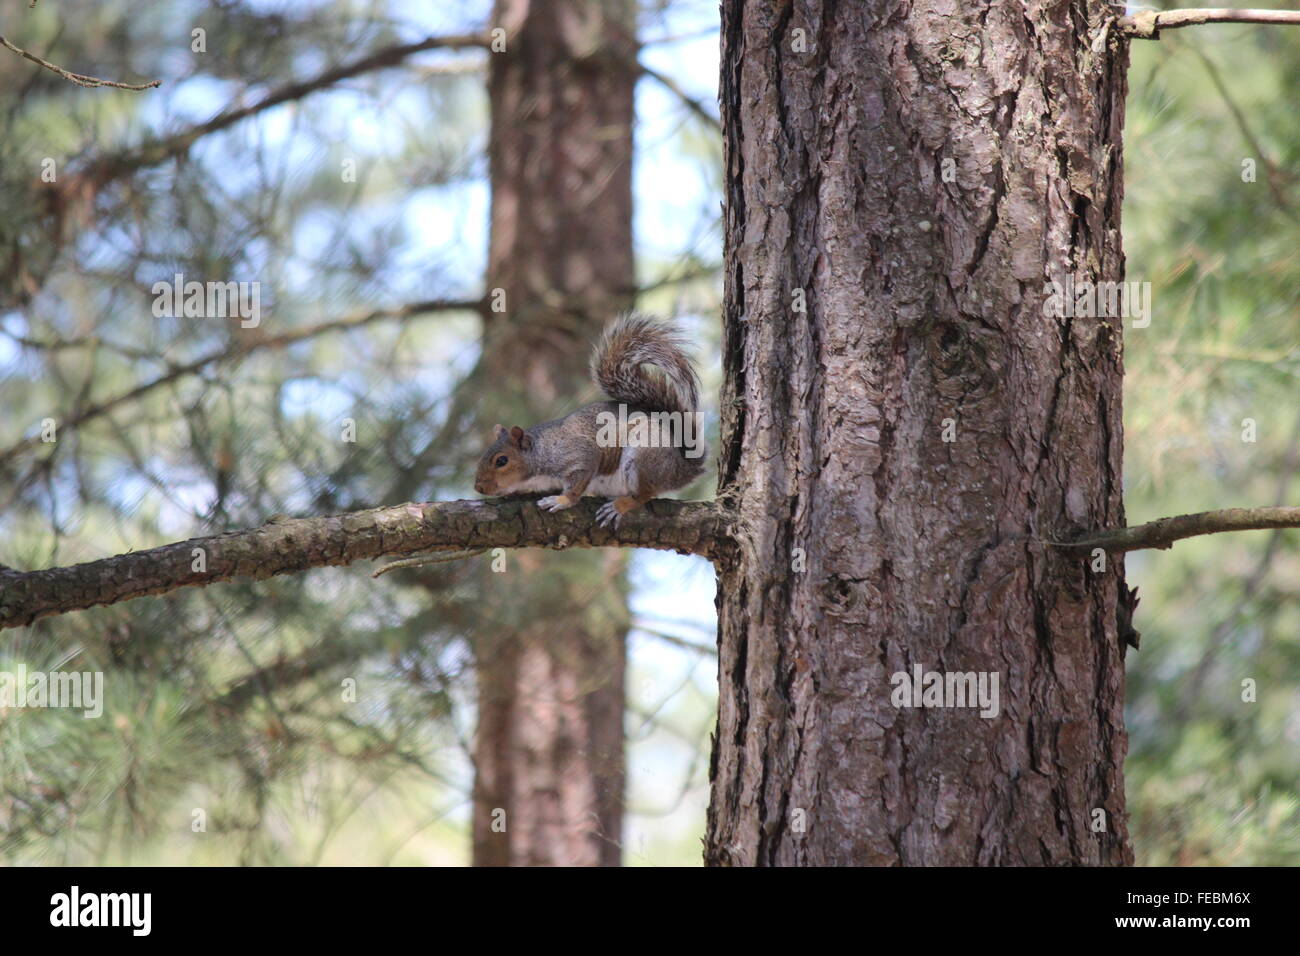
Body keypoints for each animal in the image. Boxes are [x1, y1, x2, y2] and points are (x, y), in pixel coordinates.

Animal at [473, 314, 707, 528]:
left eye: (502, 461)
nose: (479, 488)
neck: (541, 451)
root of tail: (681, 469)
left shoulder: (579, 455)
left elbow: (578, 483)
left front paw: (562, 500)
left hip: (644, 457)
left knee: (643, 494)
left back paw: (619, 506)